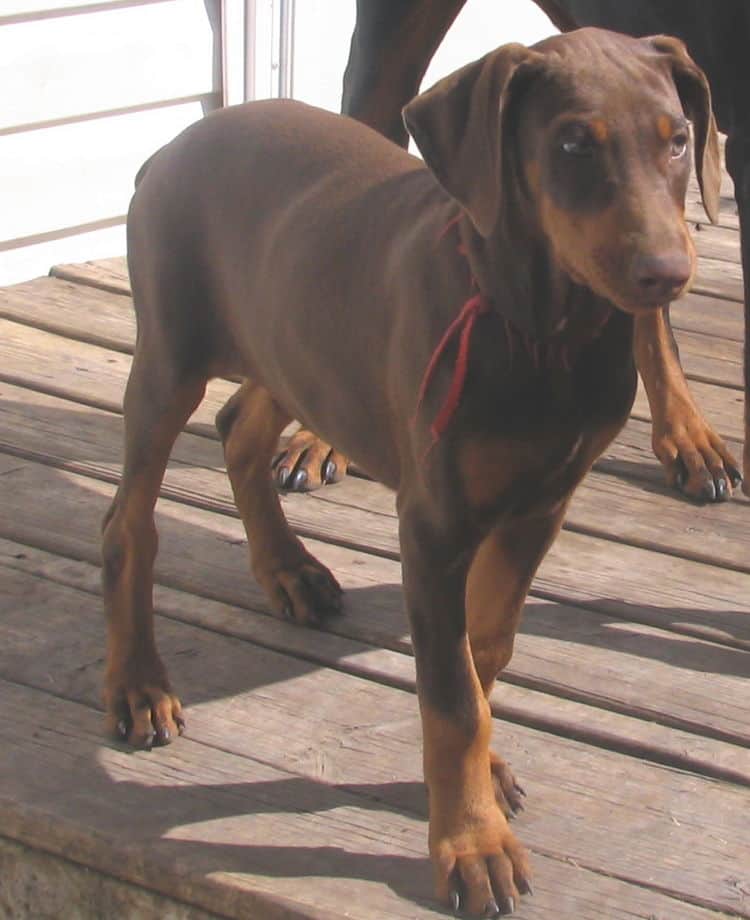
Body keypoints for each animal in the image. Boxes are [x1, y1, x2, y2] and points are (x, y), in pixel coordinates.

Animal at [104, 27, 724, 912]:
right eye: (573, 143)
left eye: (676, 141)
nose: (666, 274)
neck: (544, 335)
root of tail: (170, 146)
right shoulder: (433, 527)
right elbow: (452, 697)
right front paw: (471, 845)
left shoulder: (542, 503)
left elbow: (485, 650)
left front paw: (482, 774)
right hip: (172, 357)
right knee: (129, 522)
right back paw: (139, 682)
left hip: (300, 342)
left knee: (238, 430)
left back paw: (288, 570)